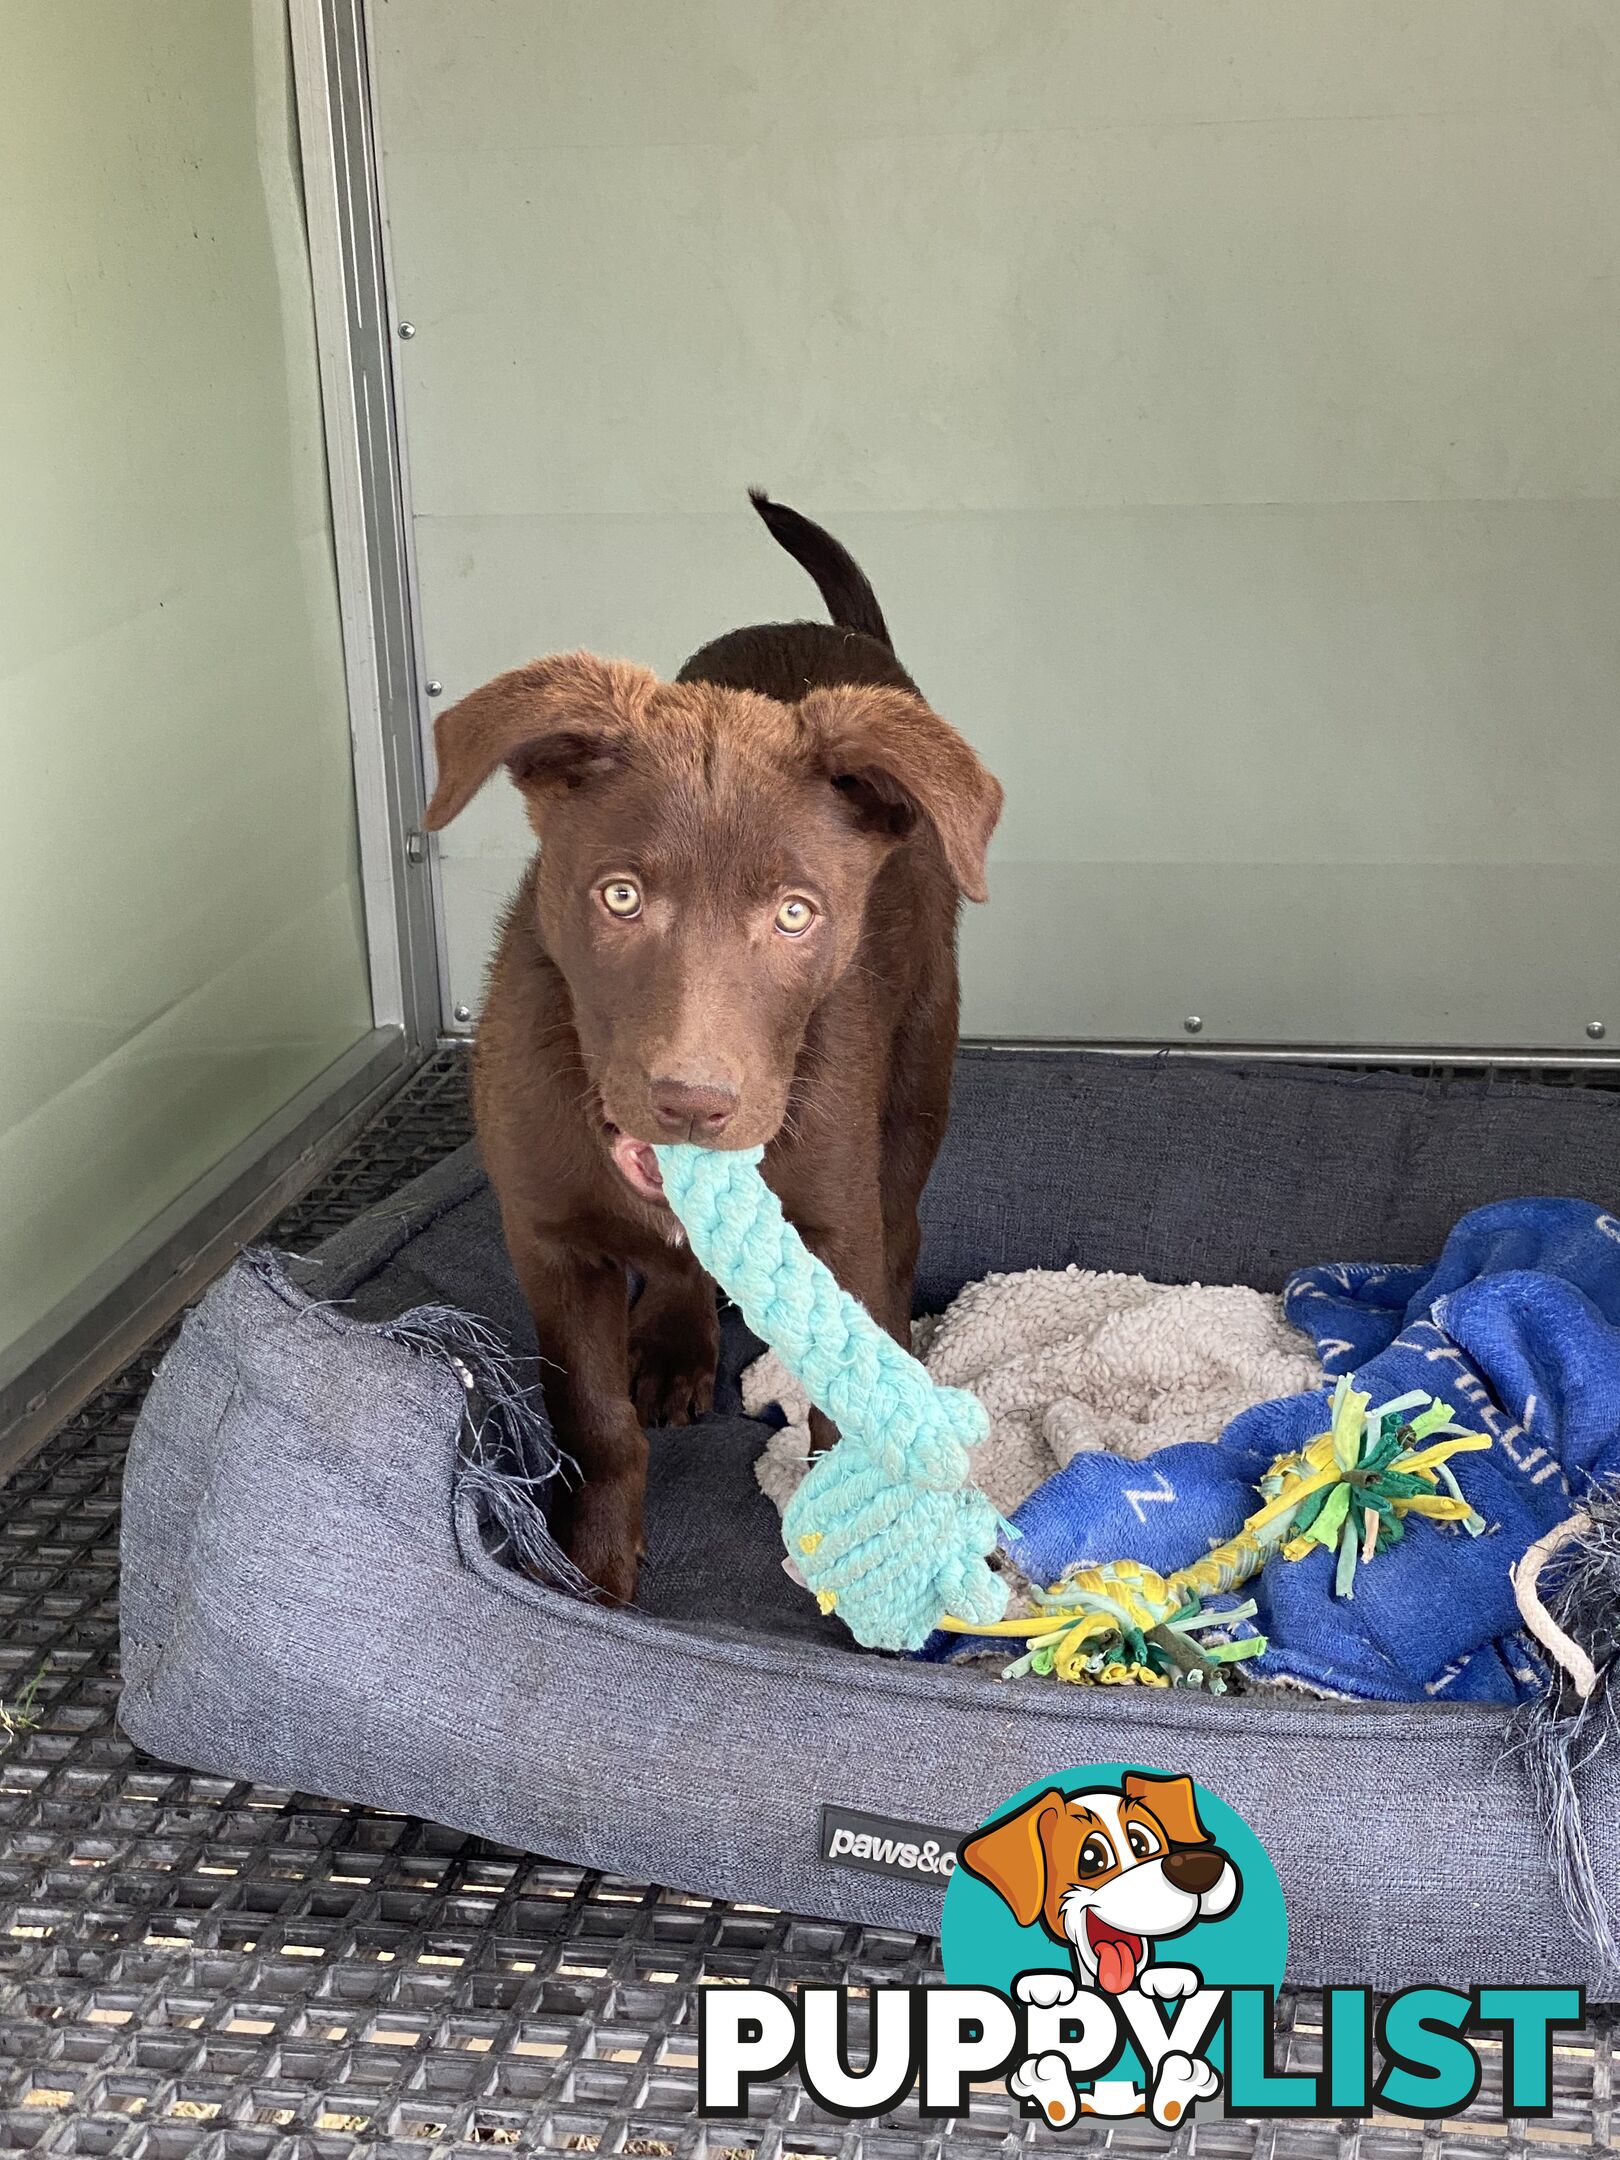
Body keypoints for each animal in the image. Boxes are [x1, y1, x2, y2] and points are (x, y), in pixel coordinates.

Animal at [421, 494, 1002, 1607]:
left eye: (794, 914)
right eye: (619, 896)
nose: (693, 1103)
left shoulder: (835, 1225)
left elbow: (844, 1404)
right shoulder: (549, 1240)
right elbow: (594, 1421)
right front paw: (594, 1578)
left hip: (921, 1073)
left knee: (903, 1226)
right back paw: (675, 1343)